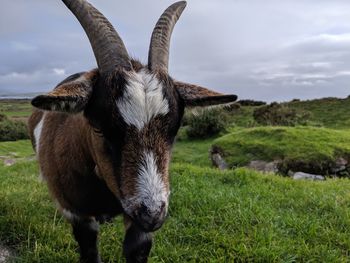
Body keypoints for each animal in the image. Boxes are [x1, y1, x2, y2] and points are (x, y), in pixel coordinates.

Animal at [27, 1, 238, 262]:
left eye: (174, 129)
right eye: (99, 127)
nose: (152, 215)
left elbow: (136, 247)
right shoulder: (76, 212)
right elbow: (89, 248)